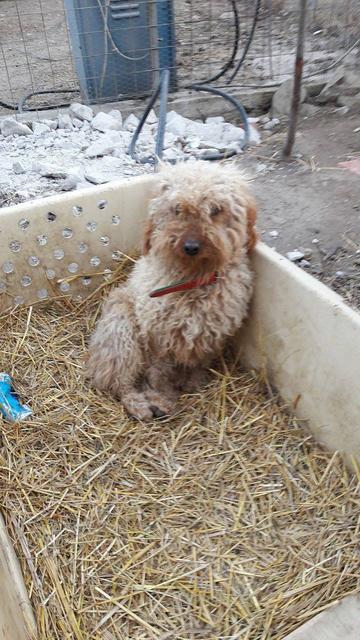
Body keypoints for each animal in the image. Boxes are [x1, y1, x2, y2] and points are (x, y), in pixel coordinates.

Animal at [87, 160, 256, 420]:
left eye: (216, 209)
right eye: (177, 209)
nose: (191, 246)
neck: (192, 281)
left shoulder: (210, 338)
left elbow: (198, 367)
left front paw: (192, 384)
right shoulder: (158, 338)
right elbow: (158, 374)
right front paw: (160, 399)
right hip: (122, 332)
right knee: (119, 382)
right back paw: (138, 404)